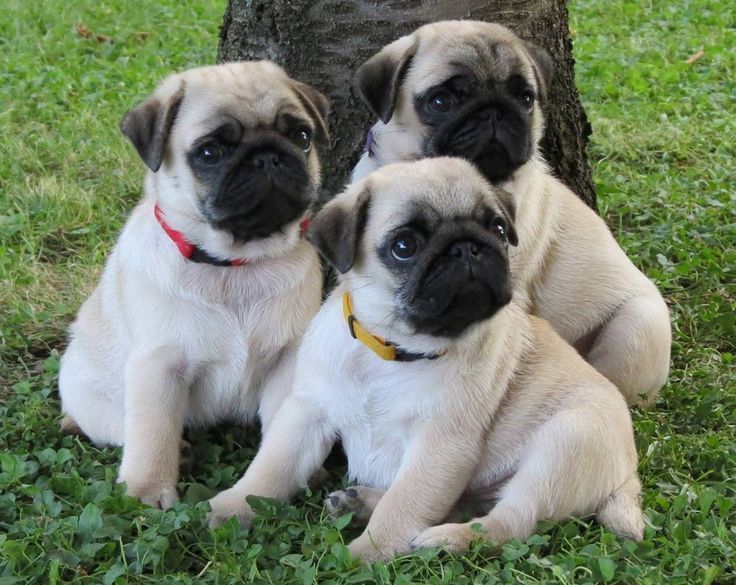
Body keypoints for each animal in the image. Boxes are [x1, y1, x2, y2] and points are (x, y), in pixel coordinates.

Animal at [59, 60, 330, 506]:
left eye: (302, 137)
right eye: (209, 153)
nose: (268, 157)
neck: (234, 264)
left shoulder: (287, 359)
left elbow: (282, 425)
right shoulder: (158, 366)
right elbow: (152, 434)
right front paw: (147, 491)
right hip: (85, 388)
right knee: (120, 426)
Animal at [203, 156, 644, 560]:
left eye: (499, 229)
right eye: (404, 247)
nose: (467, 247)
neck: (391, 349)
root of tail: (628, 473)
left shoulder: (439, 448)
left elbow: (403, 505)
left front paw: (364, 555)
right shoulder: (307, 413)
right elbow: (272, 468)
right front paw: (233, 507)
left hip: (564, 445)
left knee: (510, 520)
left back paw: (447, 538)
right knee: (460, 504)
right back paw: (360, 501)